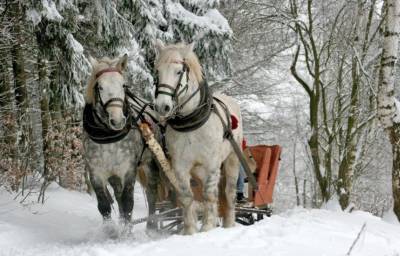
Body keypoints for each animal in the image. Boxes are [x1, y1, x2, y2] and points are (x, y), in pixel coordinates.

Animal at [152, 41, 241, 235]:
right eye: (157, 71)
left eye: (179, 72)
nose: (162, 106)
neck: (191, 123)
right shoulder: (180, 166)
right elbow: (186, 197)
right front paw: (190, 230)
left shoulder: (212, 163)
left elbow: (209, 195)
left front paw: (207, 227)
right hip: (198, 170)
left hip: (232, 159)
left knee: (228, 193)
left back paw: (229, 223)